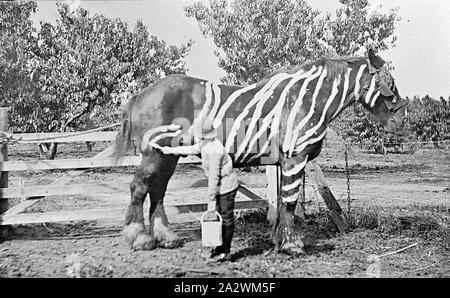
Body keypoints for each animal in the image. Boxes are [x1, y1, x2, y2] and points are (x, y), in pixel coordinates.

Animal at [111, 50, 408, 253]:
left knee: (157, 191)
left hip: (167, 157)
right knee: (139, 188)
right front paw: (291, 244)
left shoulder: (287, 162)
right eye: (390, 84)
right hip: (154, 155)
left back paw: (166, 237)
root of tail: (141, 94)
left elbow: (283, 201)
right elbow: (289, 201)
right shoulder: (294, 159)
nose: (401, 119)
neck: (306, 99)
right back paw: (140, 238)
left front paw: (279, 239)